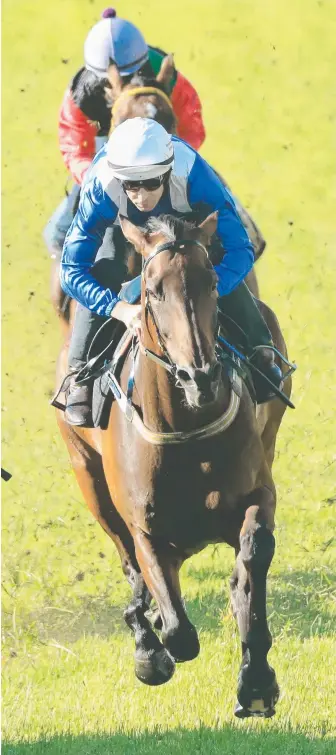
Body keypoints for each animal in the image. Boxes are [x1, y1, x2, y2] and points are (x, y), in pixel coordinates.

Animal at [56, 210, 290, 716]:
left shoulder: (258, 489)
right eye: (152, 289)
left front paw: (257, 681)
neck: (187, 427)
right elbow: (178, 630)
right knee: (130, 565)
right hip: (88, 478)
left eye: (213, 283)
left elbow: (253, 553)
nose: (199, 376)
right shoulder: (143, 524)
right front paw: (152, 653)